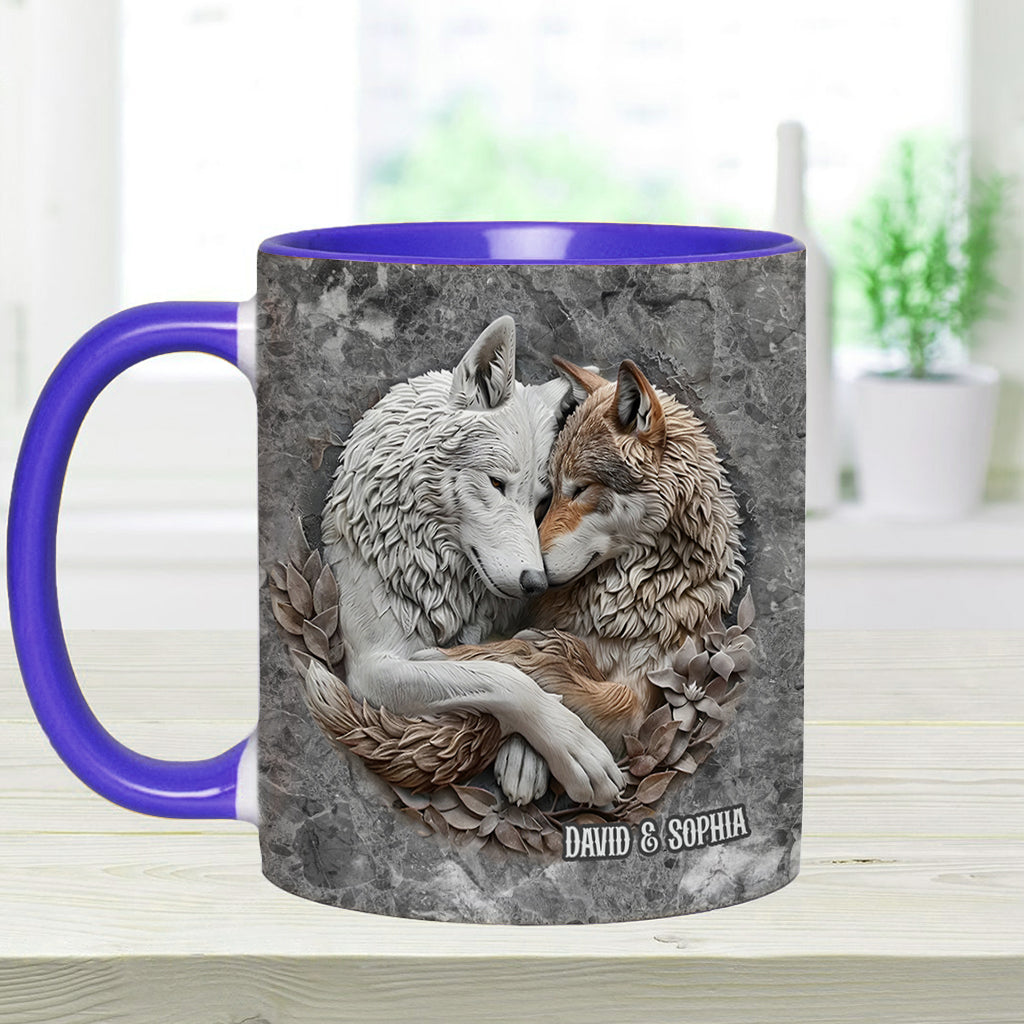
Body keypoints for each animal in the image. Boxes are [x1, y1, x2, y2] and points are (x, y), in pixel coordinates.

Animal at [319, 316, 624, 806]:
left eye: (542, 502)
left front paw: (527, 759)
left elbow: (517, 659)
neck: (441, 576)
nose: (537, 582)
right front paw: (576, 749)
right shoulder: (371, 669)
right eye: (496, 483)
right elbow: (500, 676)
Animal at [449, 357, 745, 803]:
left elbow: (604, 696)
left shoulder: (649, 688)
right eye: (552, 493)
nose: (534, 580)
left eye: (582, 488)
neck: (626, 596)